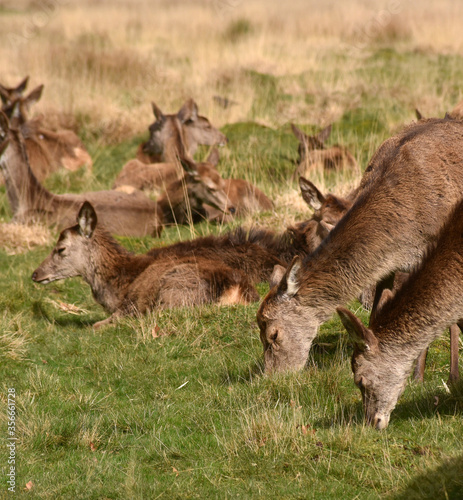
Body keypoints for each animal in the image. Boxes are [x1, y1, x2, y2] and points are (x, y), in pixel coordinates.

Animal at [30, 201, 260, 330]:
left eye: (60, 248)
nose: (35, 274)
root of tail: (237, 288)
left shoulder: (128, 305)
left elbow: (95, 325)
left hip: (176, 292)